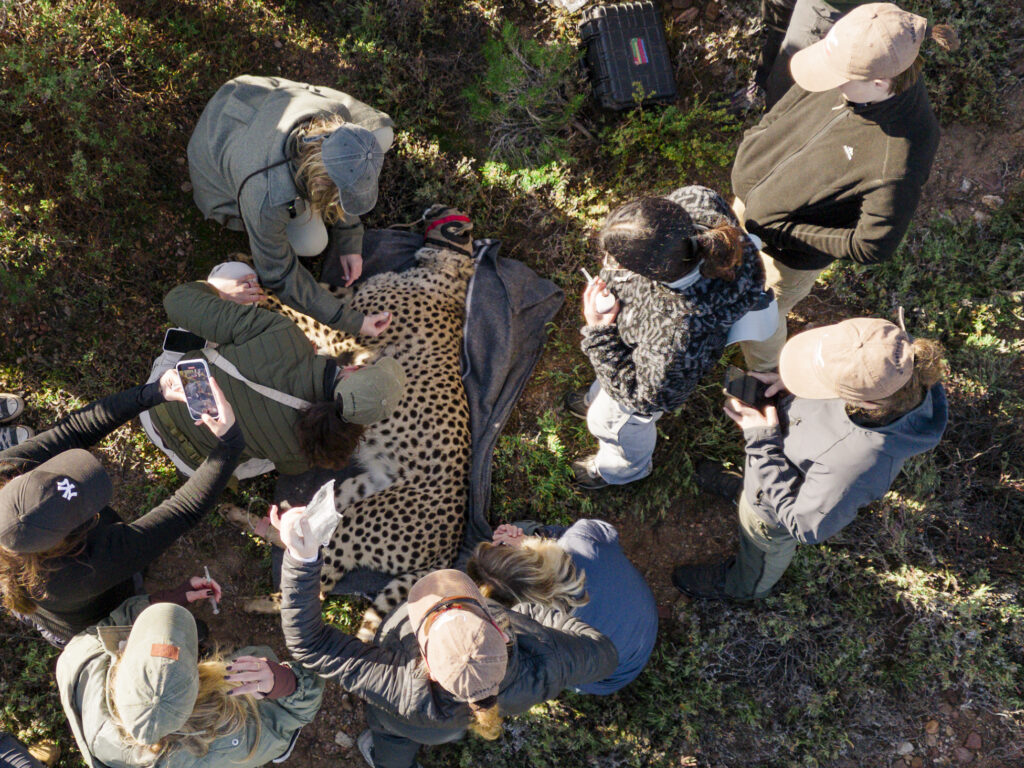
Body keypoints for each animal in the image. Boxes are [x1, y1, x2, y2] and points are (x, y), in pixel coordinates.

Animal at [222, 240, 475, 633]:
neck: (445, 282)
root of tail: (451, 549)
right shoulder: (347, 303)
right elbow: (317, 291)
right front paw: (249, 267)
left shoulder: (344, 338)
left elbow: (303, 311)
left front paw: (260, 292)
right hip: (354, 492)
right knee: (303, 536)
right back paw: (245, 517)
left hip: (363, 521)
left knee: (318, 583)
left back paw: (261, 603)